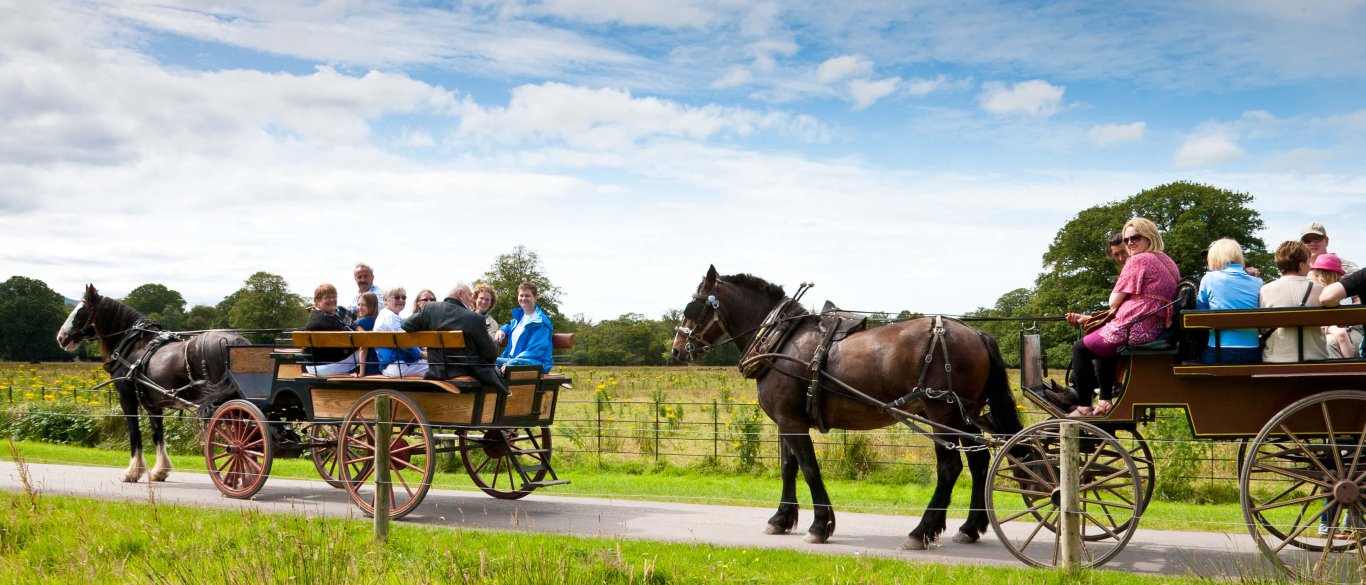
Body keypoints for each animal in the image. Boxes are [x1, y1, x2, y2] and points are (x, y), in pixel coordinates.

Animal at [56, 285, 248, 481]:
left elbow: (134, 433)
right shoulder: (153, 404)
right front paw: (160, 470)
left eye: (81, 310)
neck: (134, 346)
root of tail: (236, 341)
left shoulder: (127, 399)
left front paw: (133, 471)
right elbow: (158, 434)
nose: (61, 337)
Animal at [672, 267, 1027, 549]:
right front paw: (781, 519)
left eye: (694, 304)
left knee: (950, 468)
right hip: (963, 415)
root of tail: (977, 332)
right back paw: (969, 527)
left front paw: (820, 526)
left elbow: (809, 468)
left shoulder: (792, 421)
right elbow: (789, 468)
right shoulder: (787, 420)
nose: (676, 349)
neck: (781, 340)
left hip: (941, 413)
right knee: (979, 461)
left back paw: (921, 531)